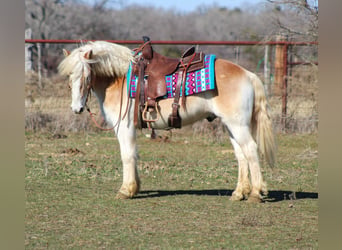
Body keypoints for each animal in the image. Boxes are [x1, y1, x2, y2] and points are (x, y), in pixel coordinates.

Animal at [58, 40, 276, 202]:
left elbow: (127, 155)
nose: (77, 108)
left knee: (251, 150)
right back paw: (239, 193)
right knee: (241, 155)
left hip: (237, 126)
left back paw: (255, 193)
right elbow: (134, 155)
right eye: (69, 77)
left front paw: (126, 190)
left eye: (86, 76)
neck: (119, 79)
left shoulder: (124, 127)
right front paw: (135, 188)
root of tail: (248, 74)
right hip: (231, 126)